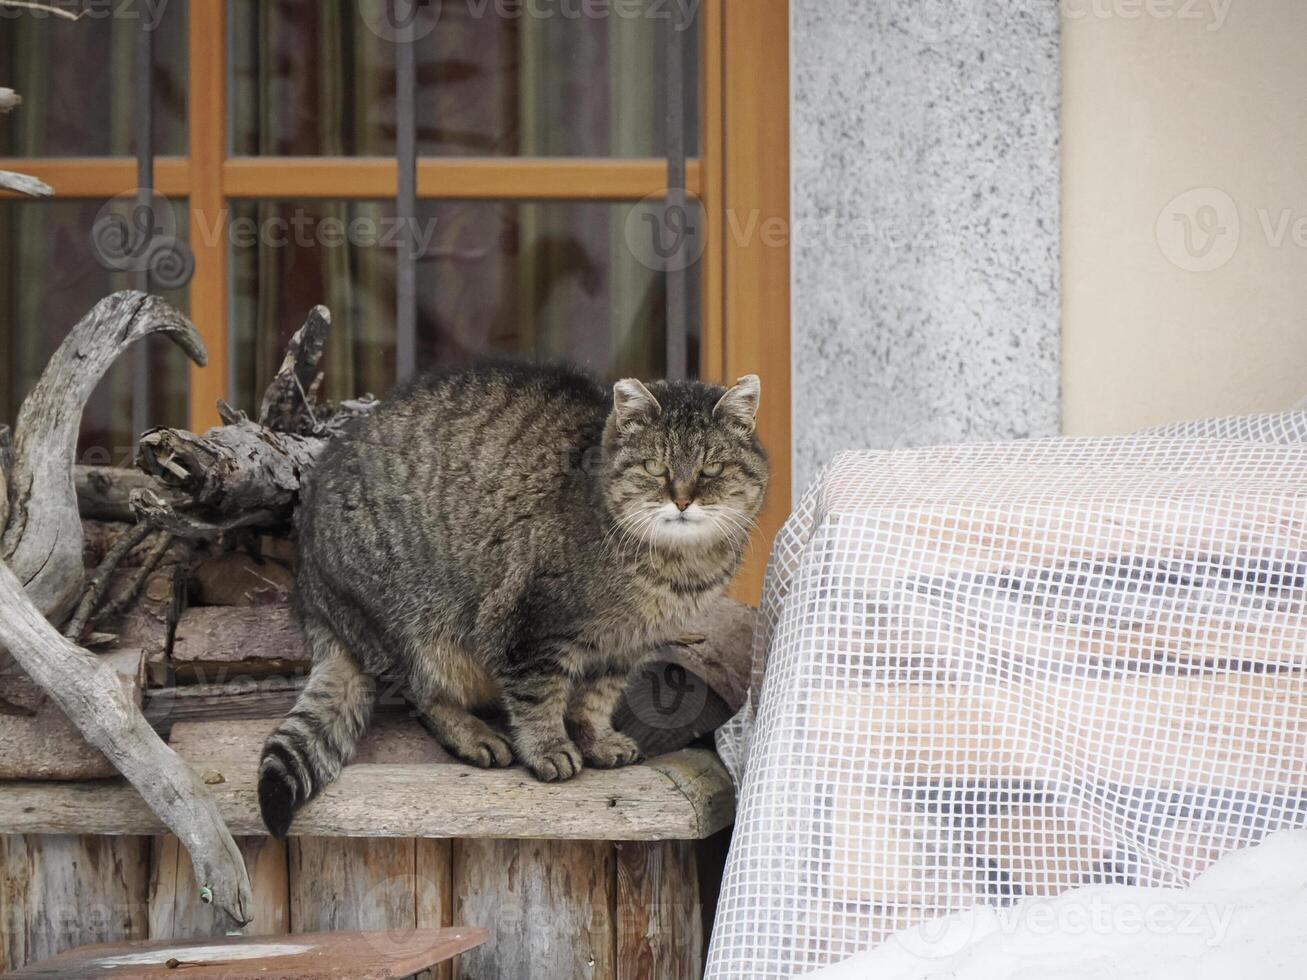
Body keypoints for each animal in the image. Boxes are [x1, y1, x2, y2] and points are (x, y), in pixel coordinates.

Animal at [257, 365, 763, 841]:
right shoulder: (530, 630)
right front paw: (549, 749)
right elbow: (539, 697)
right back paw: (475, 735)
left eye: (712, 470)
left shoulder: (624, 647)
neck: (676, 570)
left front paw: (597, 741)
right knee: (421, 695)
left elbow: (596, 699)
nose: (682, 500)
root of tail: (310, 586)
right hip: (419, 629)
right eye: (655, 469)